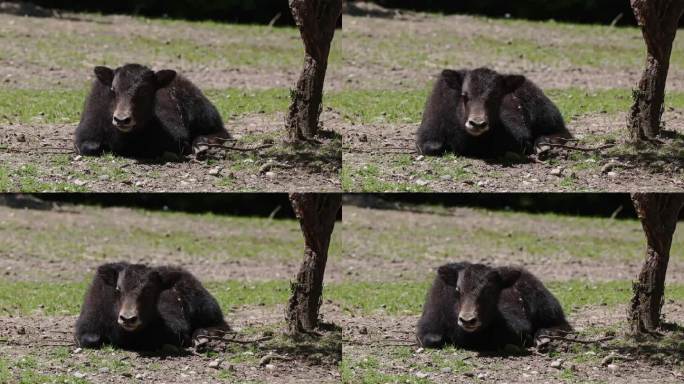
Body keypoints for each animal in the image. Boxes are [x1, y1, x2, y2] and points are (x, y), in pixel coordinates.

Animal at [74, 63, 230, 157]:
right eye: (113, 89)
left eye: (145, 91)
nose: (122, 119)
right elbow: (90, 147)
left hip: (204, 114)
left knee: (223, 132)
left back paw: (202, 144)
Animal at [75, 262, 227, 350]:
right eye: (118, 289)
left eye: (149, 290)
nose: (128, 318)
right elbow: (91, 339)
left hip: (206, 309)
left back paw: (202, 338)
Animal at [416, 262, 572, 350]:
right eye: (457, 290)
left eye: (491, 291)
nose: (467, 320)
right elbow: (432, 340)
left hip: (547, 307)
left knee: (564, 325)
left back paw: (544, 337)